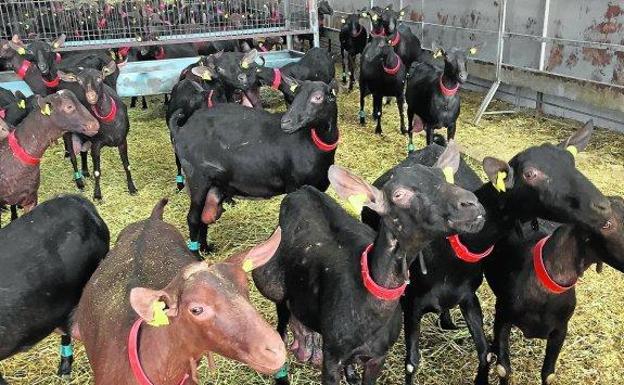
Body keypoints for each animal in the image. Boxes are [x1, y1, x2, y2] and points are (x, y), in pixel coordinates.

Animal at [58, 61, 136, 200]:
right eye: (79, 81)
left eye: (100, 77)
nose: (91, 96)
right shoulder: (96, 144)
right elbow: (97, 171)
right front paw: (97, 195)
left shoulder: (122, 141)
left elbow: (127, 165)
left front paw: (132, 188)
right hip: (67, 132)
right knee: (73, 156)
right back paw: (80, 182)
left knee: (83, 151)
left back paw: (85, 171)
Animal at [171, 79, 338, 254]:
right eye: (295, 94)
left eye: (318, 97)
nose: (286, 122)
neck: (312, 143)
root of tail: (181, 129)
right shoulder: (294, 186)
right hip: (197, 177)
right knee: (193, 218)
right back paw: (197, 255)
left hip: (212, 183)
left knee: (204, 217)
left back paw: (206, 249)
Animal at [254, 144, 488, 384]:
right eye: (399, 194)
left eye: (445, 177)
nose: (471, 204)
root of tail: (302, 191)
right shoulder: (333, 358)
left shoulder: (378, 356)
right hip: (273, 282)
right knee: (281, 321)